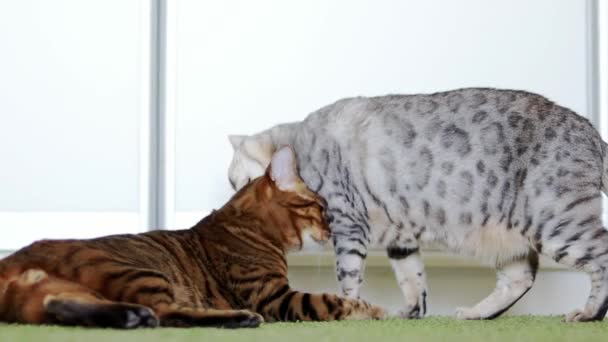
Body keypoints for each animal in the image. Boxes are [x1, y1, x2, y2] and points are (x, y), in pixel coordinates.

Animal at [0, 147, 384, 328]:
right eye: (321, 207)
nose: (332, 229)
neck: (246, 225)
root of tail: (13, 261)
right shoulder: (274, 296)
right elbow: (332, 300)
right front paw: (375, 309)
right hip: (139, 272)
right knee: (166, 312)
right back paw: (238, 318)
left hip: (57, 293)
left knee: (59, 306)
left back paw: (131, 317)